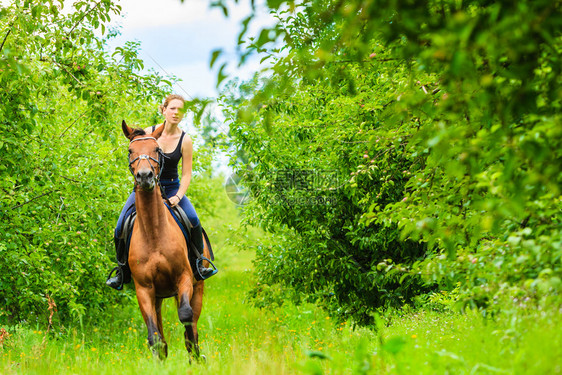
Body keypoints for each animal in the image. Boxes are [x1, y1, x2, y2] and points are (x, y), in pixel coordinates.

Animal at [122, 121, 208, 362]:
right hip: (158, 297)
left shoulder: (184, 278)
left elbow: (186, 316)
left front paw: (195, 354)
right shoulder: (144, 289)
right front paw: (160, 360)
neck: (154, 233)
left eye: (157, 150)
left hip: (198, 286)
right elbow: (154, 336)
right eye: (130, 151)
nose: (144, 176)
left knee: (192, 320)